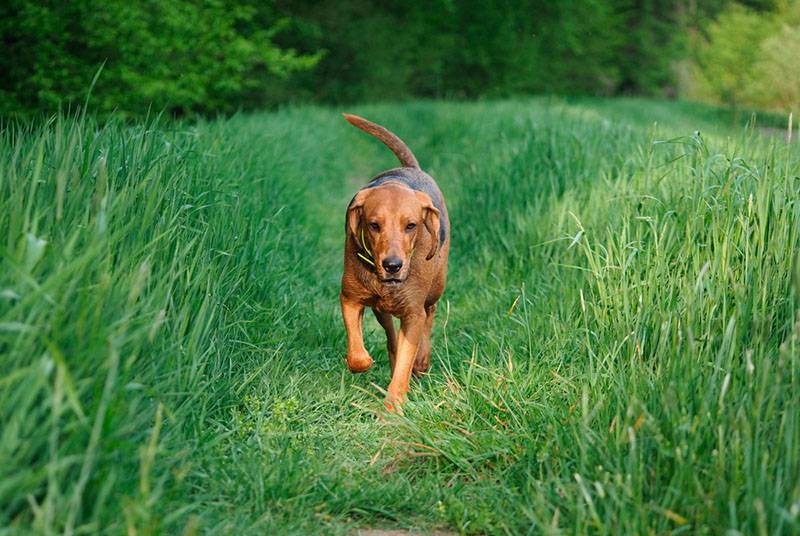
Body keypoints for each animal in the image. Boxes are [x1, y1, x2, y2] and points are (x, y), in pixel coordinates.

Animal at [340, 112, 450, 406]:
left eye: (411, 225)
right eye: (373, 225)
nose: (392, 266)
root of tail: (411, 169)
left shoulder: (412, 313)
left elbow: (405, 362)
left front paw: (393, 407)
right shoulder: (350, 298)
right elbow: (357, 356)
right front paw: (365, 362)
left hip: (436, 288)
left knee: (430, 313)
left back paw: (421, 362)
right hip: (381, 310)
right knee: (391, 337)